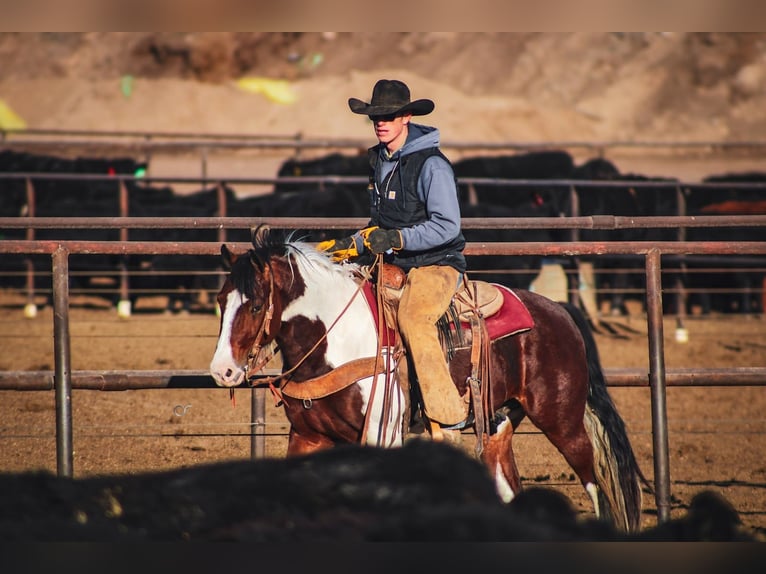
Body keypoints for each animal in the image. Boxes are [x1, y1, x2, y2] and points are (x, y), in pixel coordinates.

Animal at [209, 226, 649, 532]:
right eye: (220, 300)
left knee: (595, 485)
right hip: (499, 422)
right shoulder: (307, 437)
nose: (221, 371)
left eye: (256, 305)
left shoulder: (382, 434)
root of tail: (559, 310)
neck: (337, 338)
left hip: (562, 420)